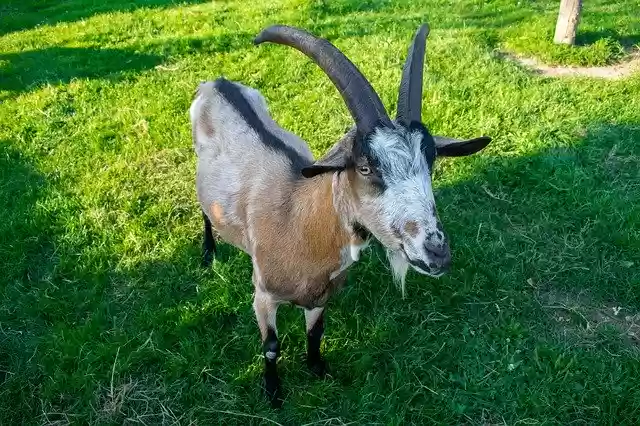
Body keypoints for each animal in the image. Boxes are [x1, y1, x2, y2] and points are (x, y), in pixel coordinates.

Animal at [190, 23, 492, 407]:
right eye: (364, 167)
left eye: (431, 162)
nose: (436, 252)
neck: (297, 219)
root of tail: (217, 82)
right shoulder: (263, 294)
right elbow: (271, 347)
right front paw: (273, 393)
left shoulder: (322, 295)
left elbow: (316, 333)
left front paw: (318, 369)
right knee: (203, 209)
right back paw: (208, 254)